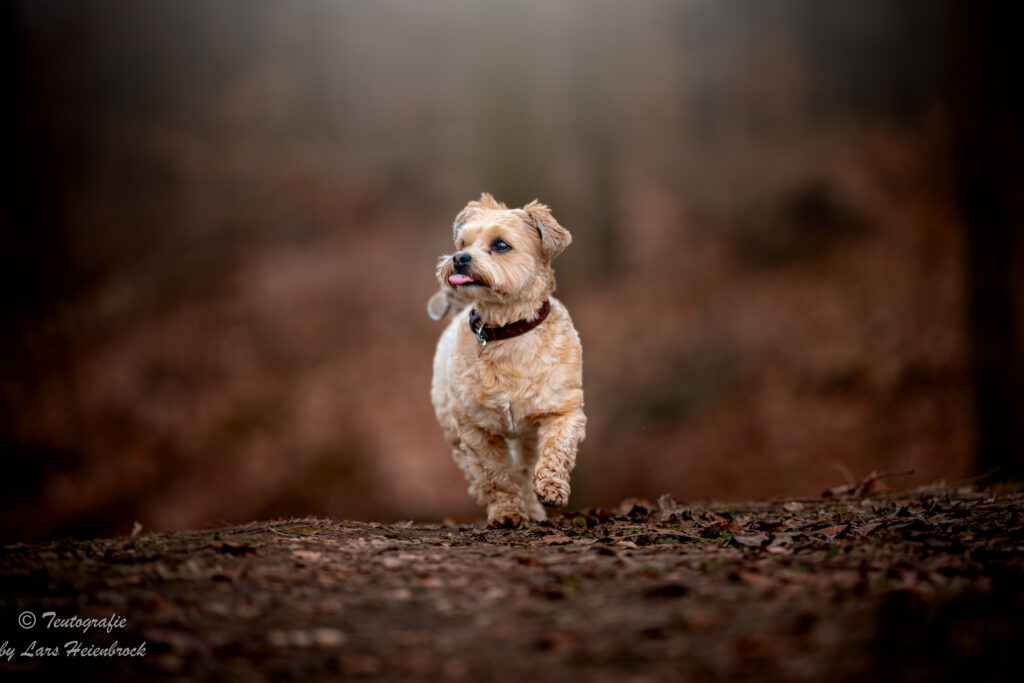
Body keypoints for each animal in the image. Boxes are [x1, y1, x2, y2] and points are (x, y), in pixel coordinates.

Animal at [425, 192, 585, 528]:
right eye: (463, 243)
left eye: (500, 245)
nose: (459, 258)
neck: (507, 329)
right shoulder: (475, 428)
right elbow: (494, 474)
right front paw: (507, 513)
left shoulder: (563, 410)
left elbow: (556, 450)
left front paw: (551, 489)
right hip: (452, 426)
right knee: (475, 469)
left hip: (526, 437)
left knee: (524, 468)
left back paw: (534, 508)